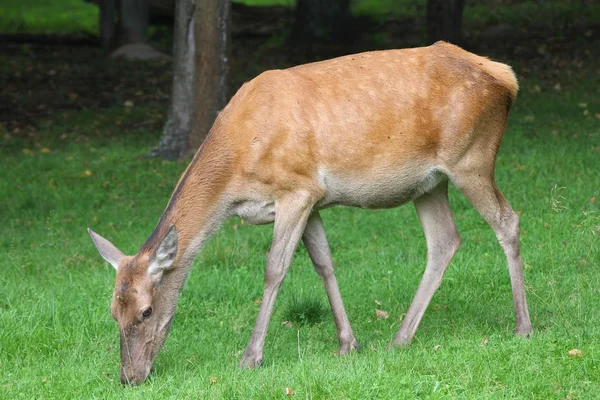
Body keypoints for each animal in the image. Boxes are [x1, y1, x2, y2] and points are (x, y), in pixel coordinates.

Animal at [86, 40, 532, 384]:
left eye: (146, 311)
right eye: (112, 311)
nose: (129, 377)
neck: (236, 169)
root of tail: (506, 77)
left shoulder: (297, 189)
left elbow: (275, 268)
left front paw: (251, 357)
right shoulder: (313, 199)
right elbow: (323, 262)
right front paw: (348, 343)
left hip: (471, 158)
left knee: (507, 221)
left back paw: (523, 326)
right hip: (429, 183)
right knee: (444, 240)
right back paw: (400, 337)